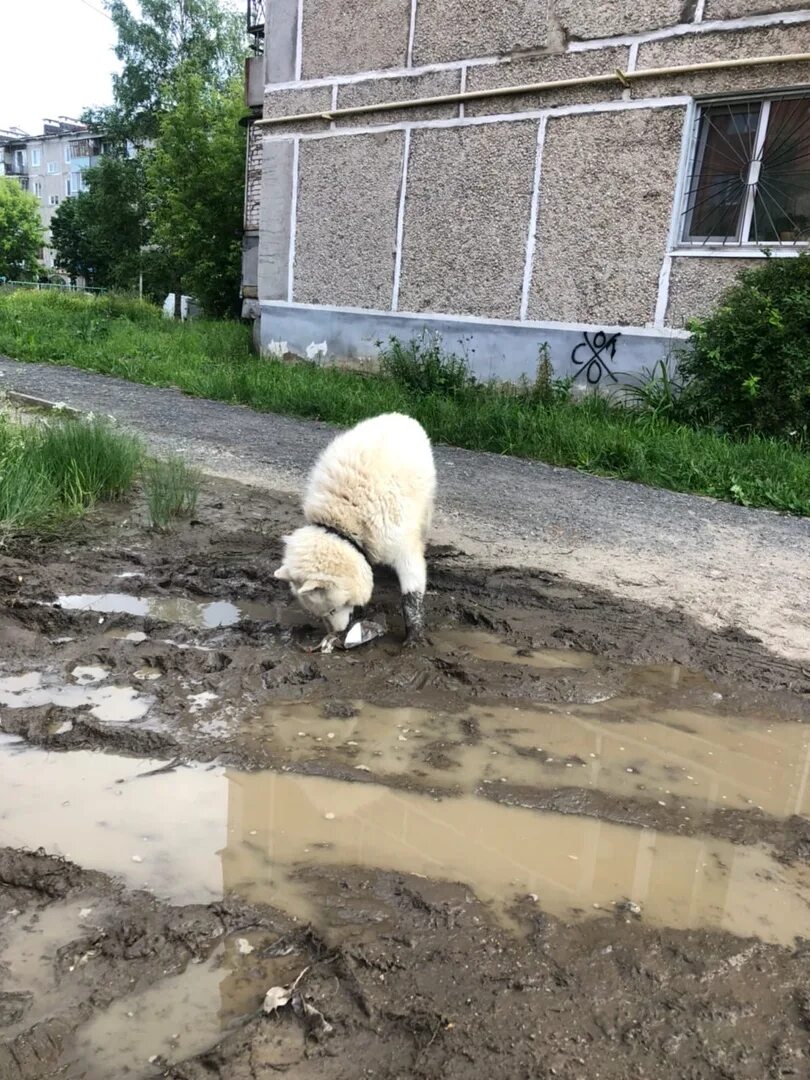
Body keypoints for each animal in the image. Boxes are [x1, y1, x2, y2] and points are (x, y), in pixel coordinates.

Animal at [274, 414, 438, 643]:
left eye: (333, 610)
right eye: (323, 614)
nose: (337, 634)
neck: (345, 521)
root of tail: (400, 416)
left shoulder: (404, 549)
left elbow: (411, 598)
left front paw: (414, 636)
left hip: (425, 505)